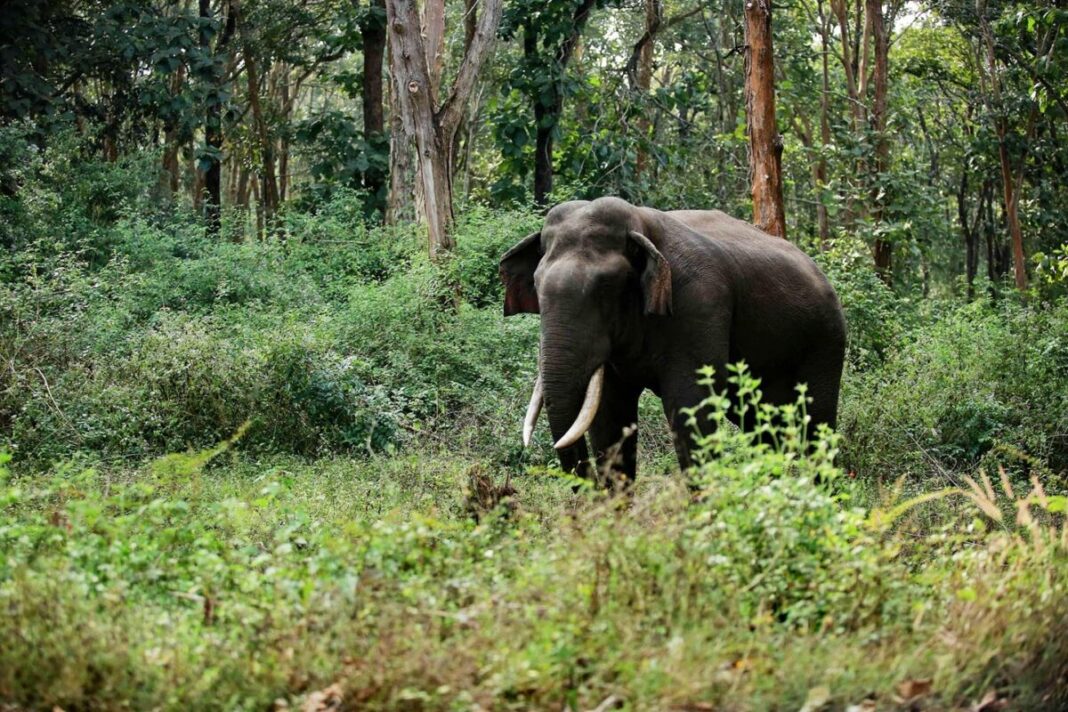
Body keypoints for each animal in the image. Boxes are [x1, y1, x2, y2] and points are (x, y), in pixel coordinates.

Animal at [499, 196, 846, 484]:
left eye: (606, 286)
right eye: (536, 284)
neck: (640, 224)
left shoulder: (700, 306)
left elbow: (689, 407)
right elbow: (609, 415)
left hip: (825, 345)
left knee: (816, 427)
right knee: (764, 428)